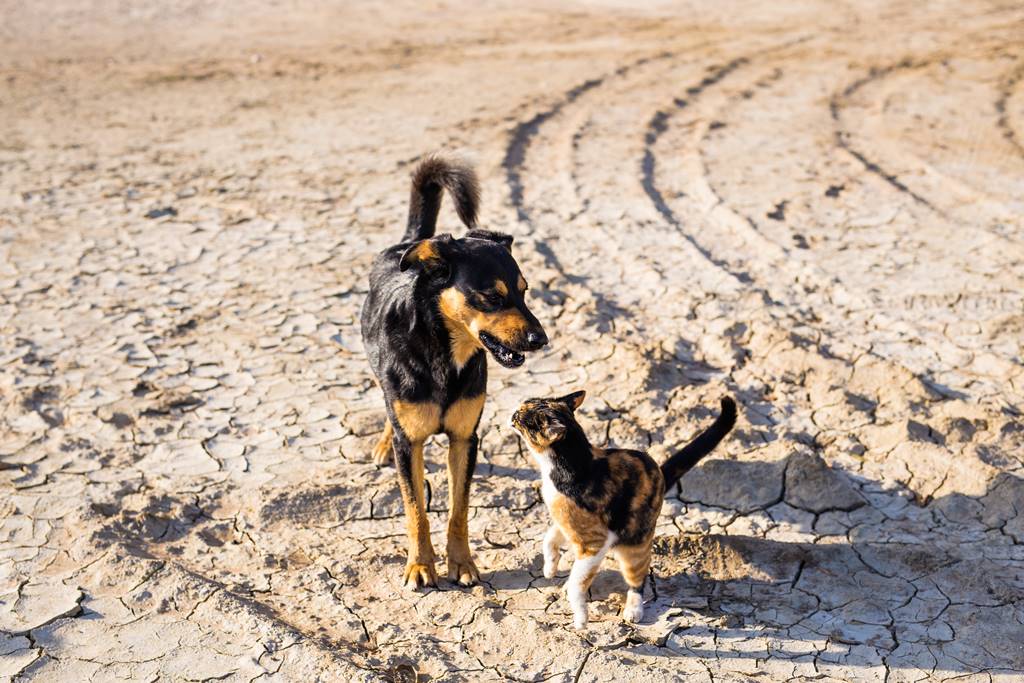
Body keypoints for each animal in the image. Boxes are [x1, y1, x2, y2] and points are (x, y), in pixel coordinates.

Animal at [362, 153, 548, 589]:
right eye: (492, 296)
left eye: (525, 291)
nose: (540, 339)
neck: (445, 354)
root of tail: (407, 243)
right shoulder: (410, 445)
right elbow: (415, 510)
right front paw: (419, 565)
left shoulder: (465, 439)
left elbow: (459, 509)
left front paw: (461, 563)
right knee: (388, 406)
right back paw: (384, 441)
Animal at [509, 389, 737, 630]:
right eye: (524, 406)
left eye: (525, 419)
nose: (513, 414)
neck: (574, 463)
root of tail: (661, 476)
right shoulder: (566, 522)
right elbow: (550, 539)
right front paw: (549, 568)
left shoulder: (594, 542)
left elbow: (578, 583)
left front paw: (580, 619)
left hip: (634, 548)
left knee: (638, 580)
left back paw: (633, 610)